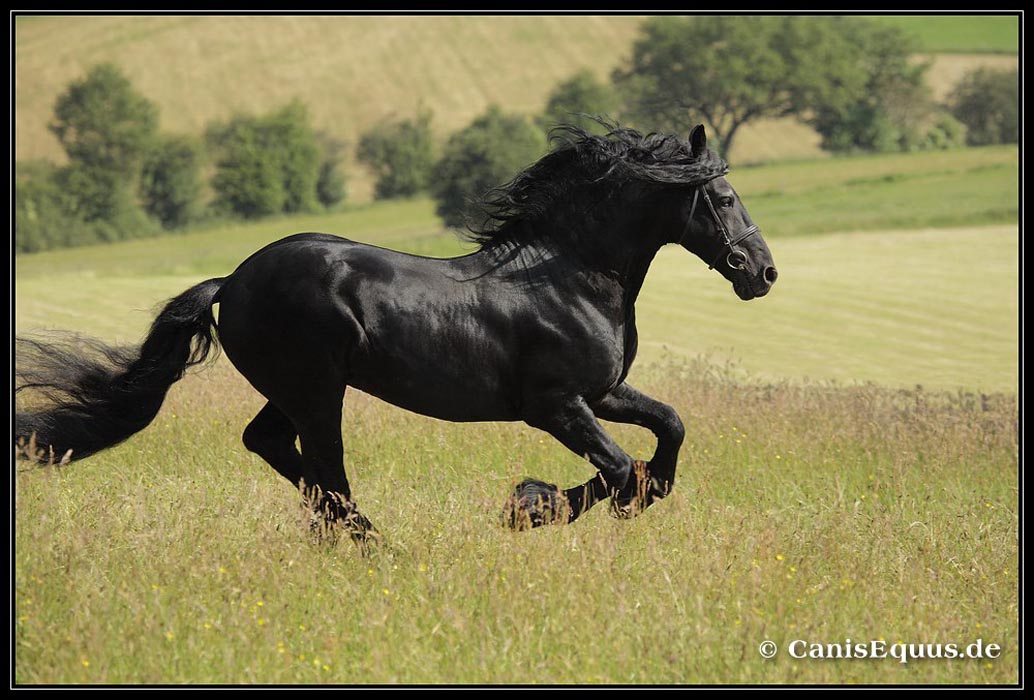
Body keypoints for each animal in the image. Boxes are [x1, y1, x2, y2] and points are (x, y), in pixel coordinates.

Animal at [16, 124, 777, 541]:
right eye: (724, 196)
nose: (763, 272)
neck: (570, 275)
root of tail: (230, 283)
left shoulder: (604, 392)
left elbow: (670, 426)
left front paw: (646, 493)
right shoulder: (556, 406)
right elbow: (616, 468)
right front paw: (529, 507)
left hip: (293, 389)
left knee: (275, 448)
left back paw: (351, 537)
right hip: (317, 388)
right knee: (325, 467)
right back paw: (374, 545)